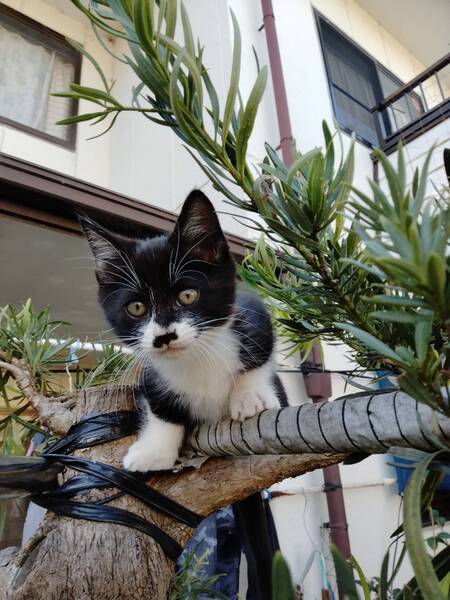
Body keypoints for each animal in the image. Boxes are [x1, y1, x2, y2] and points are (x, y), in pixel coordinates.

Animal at [80, 190, 287, 472]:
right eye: (136, 307)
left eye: (187, 296)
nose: (164, 336)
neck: (195, 359)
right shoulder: (150, 372)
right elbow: (159, 405)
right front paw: (154, 450)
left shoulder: (255, 313)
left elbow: (260, 353)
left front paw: (250, 397)